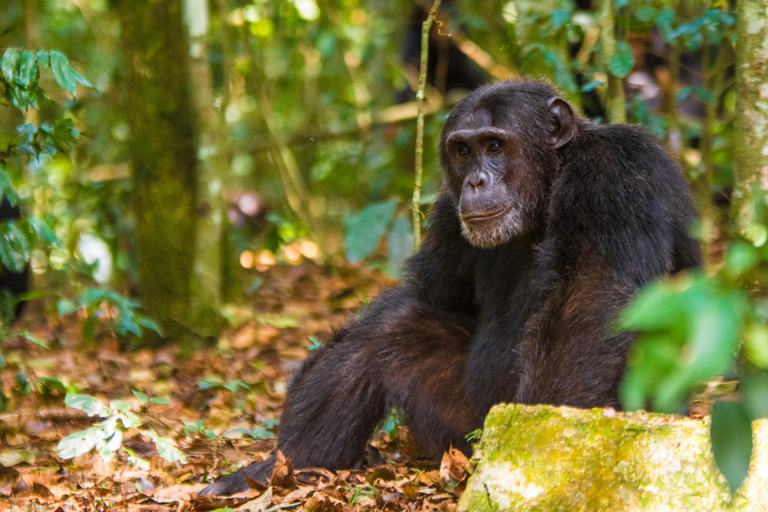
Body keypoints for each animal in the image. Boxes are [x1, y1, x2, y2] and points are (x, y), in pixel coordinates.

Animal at [200, 80, 704, 496]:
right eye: (462, 151)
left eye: (495, 145)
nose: (477, 180)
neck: (547, 186)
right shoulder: (446, 213)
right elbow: (428, 296)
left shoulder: (614, 172)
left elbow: (592, 293)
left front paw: (544, 452)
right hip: (462, 429)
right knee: (389, 329)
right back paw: (284, 468)